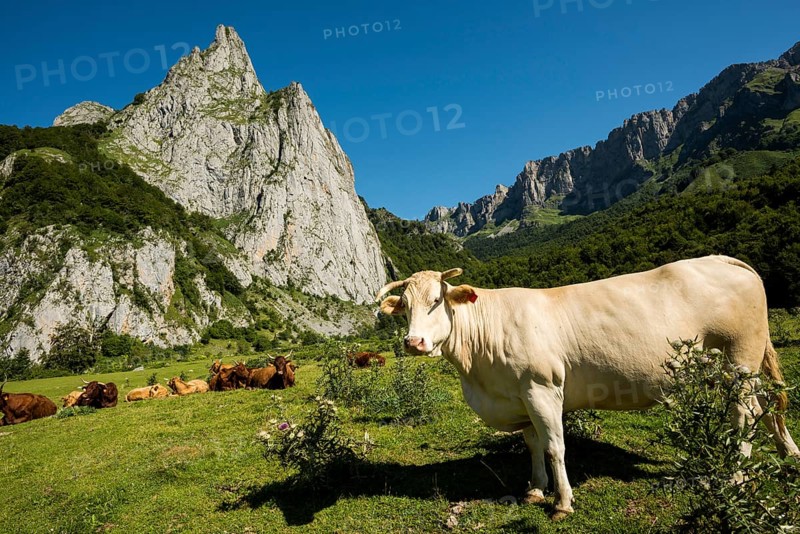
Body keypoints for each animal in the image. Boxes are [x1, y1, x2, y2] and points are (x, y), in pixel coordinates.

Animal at [376, 256, 800, 519]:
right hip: (727, 367)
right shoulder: (521, 397)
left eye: (436, 300)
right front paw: (535, 489)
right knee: (764, 408)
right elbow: (533, 445)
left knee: (744, 415)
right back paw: (786, 454)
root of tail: (724, 259)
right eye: (405, 308)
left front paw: (562, 502)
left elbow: (555, 447)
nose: (413, 343)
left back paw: (735, 474)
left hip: (739, 357)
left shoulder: (543, 388)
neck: (479, 376)